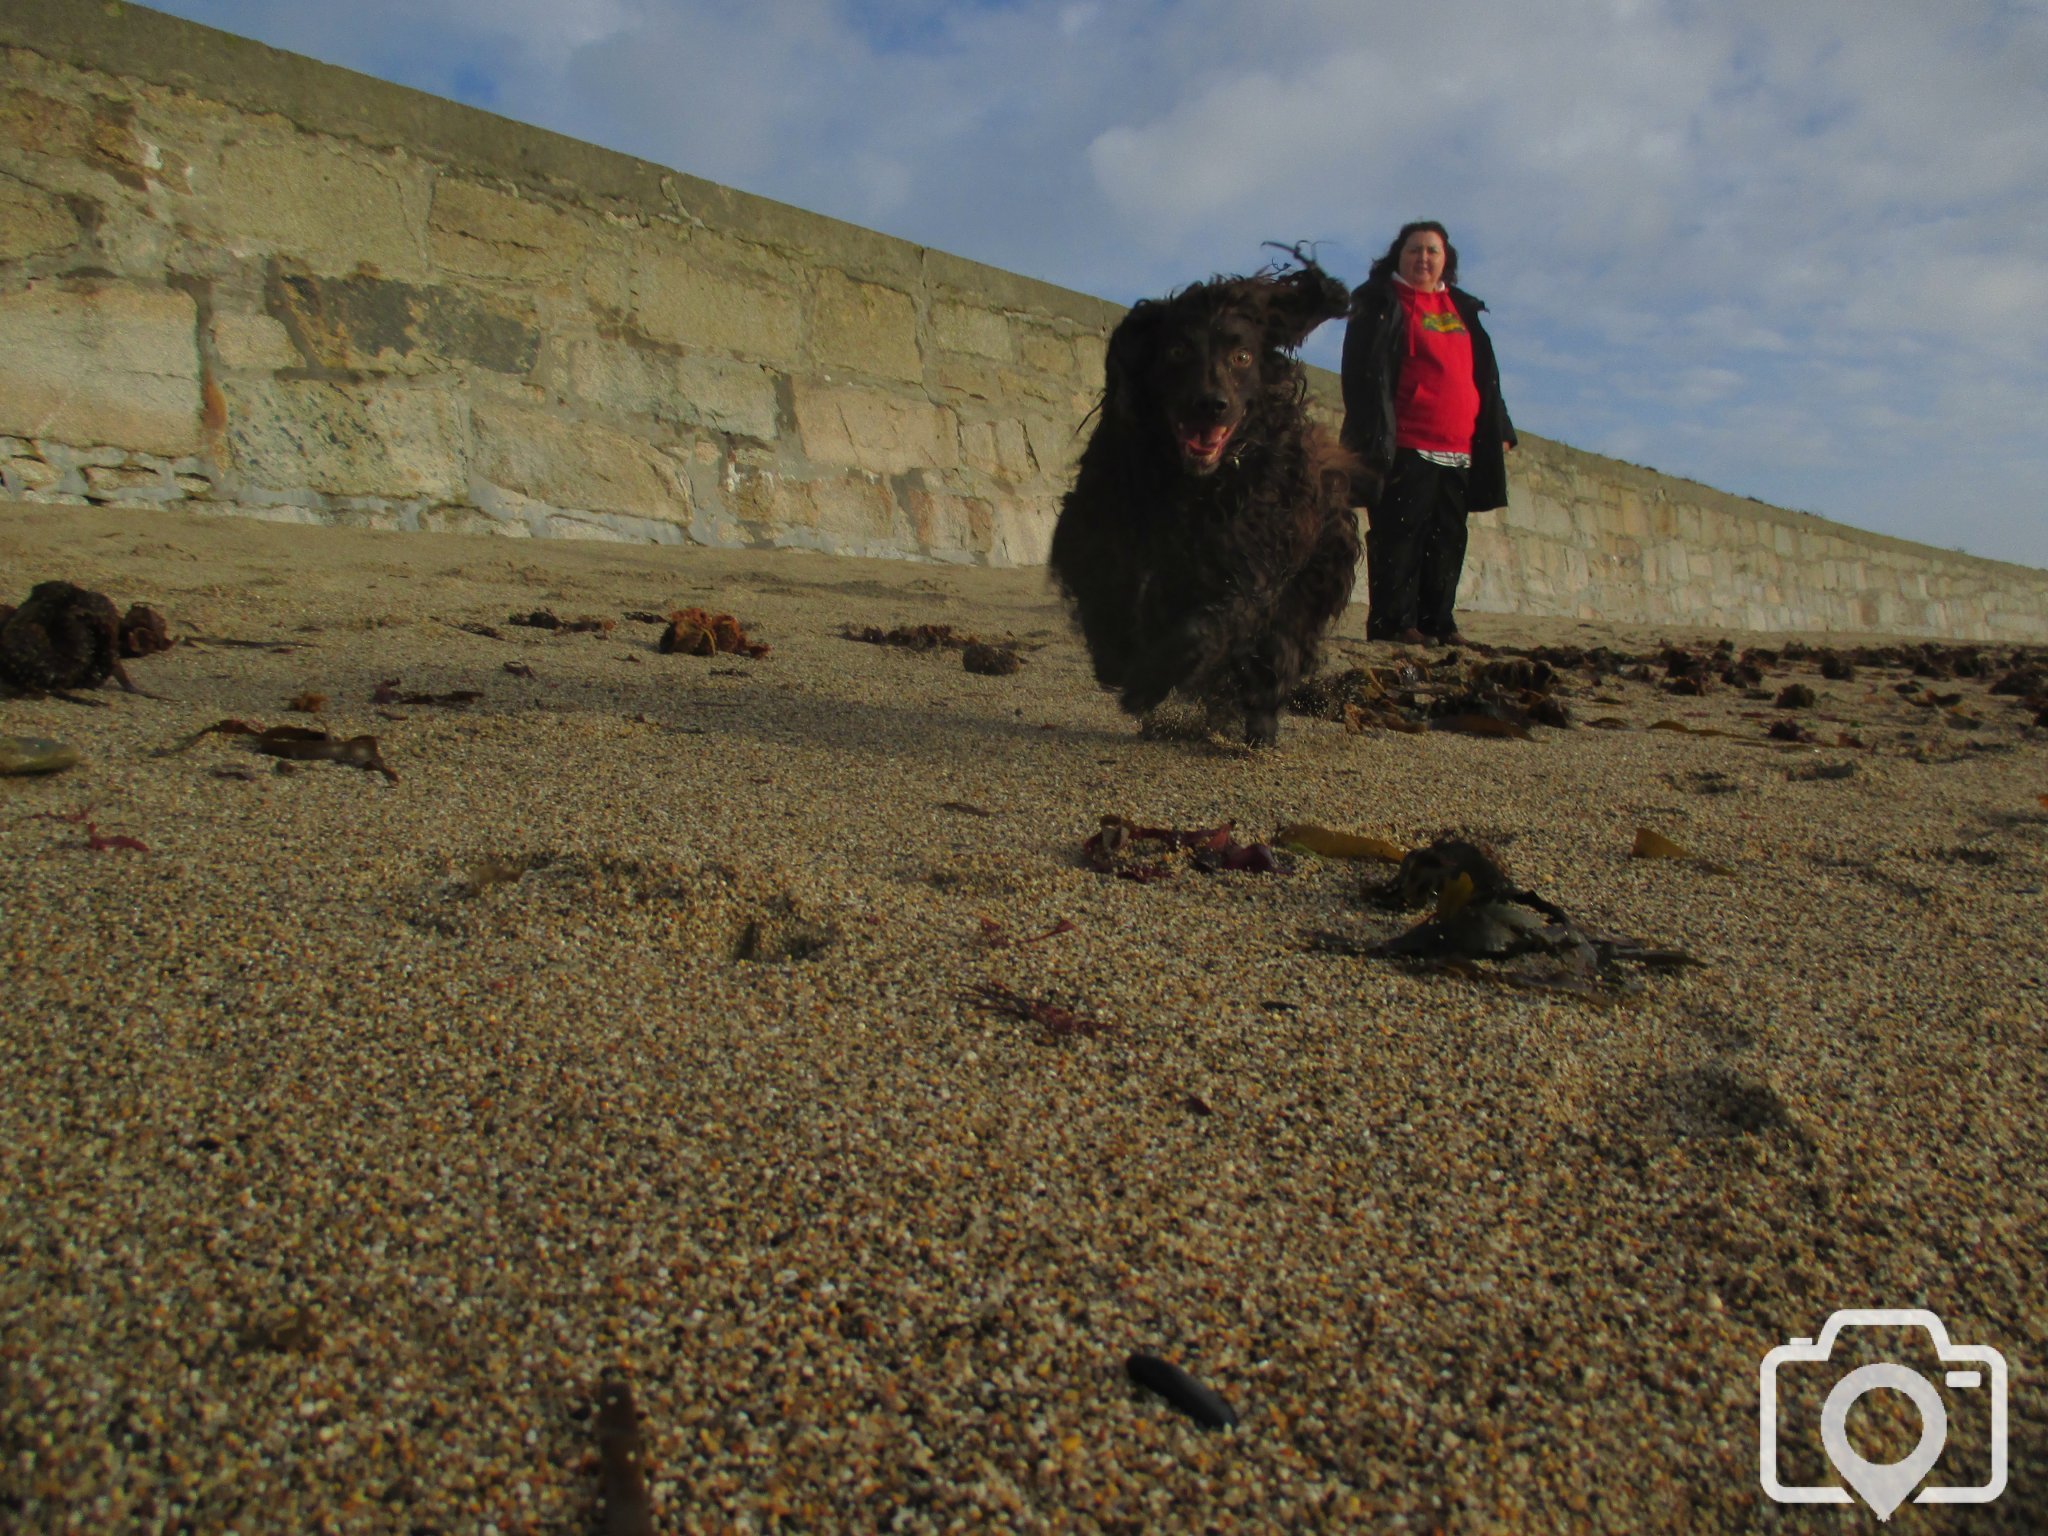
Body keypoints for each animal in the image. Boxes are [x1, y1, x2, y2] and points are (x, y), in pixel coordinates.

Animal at [1056, 249, 1359, 749]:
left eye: (1242, 356)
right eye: (1178, 350)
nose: (1211, 404)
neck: (1190, 483)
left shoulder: (1252, 558)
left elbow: (1208, 625)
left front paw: (1148, 681)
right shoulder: (1096, 519)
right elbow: (1103, 584)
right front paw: (1116, 657)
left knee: (1277, 656)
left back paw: (1259, 727)